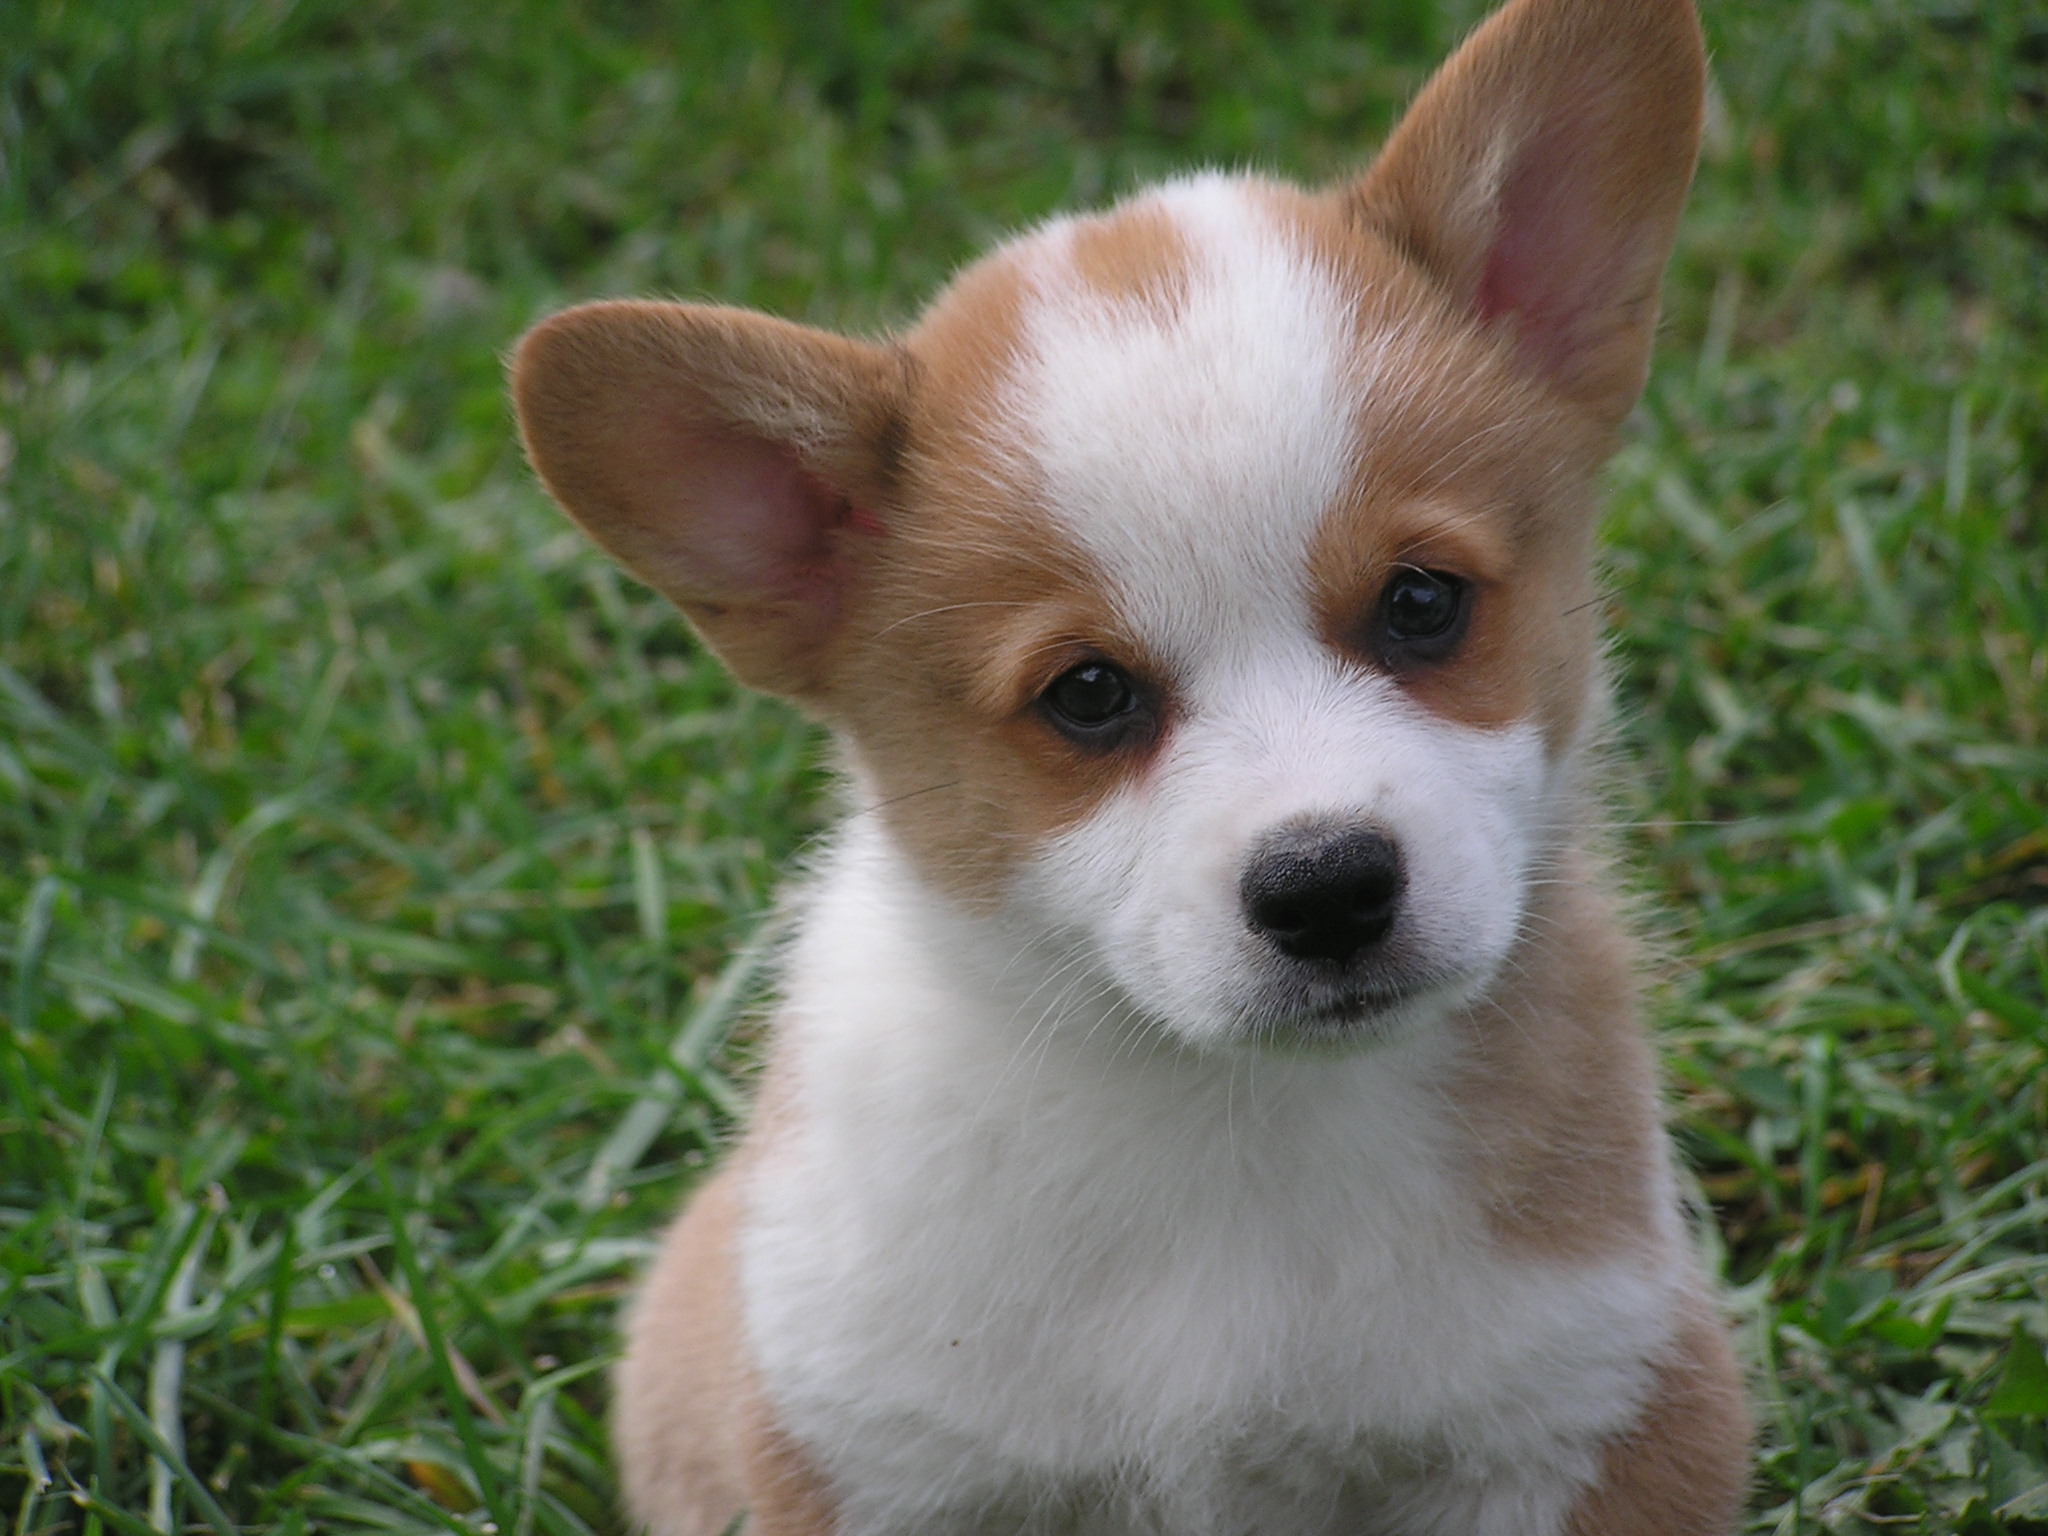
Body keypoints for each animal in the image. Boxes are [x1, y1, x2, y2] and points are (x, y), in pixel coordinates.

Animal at [507, 0, 1744, 1531]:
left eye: (1421, 601)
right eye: (1087, 695)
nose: (1328, 889)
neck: (1222, 1126)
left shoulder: (1585, 1407)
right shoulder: (882, 1454)